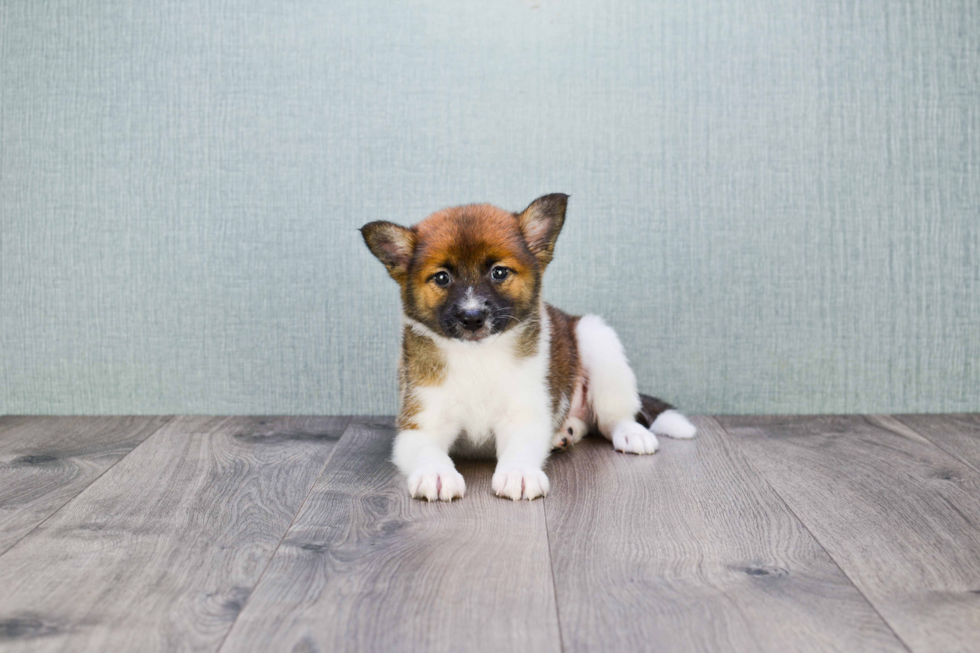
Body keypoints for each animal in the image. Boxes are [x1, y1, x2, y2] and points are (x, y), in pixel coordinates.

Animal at [362, 192, 696, 500]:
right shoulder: (419, 424)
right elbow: (427, 451)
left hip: (597, 340)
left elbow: (520, 448)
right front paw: (436, 473)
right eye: (442, 278)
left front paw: (519, 473)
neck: (477, 356)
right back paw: (565, 433)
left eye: (499, 272)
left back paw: (629, 433)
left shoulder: (525, 414)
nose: (472, 318)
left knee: (613, 417)